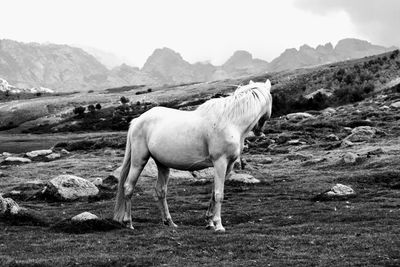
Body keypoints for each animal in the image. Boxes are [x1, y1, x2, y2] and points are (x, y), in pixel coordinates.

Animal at [114, 79, 274, 232]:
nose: (259, 131)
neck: (231, 122)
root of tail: (137, 120)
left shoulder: (229, 165)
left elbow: (213, 193)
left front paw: (209, 222)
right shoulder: (220, 162)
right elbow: (219, 194)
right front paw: (218, 225)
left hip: (162, 165)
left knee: (160, 191)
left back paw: (169, 222)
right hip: (139, 161)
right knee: (128, 187)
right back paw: (128, 223)